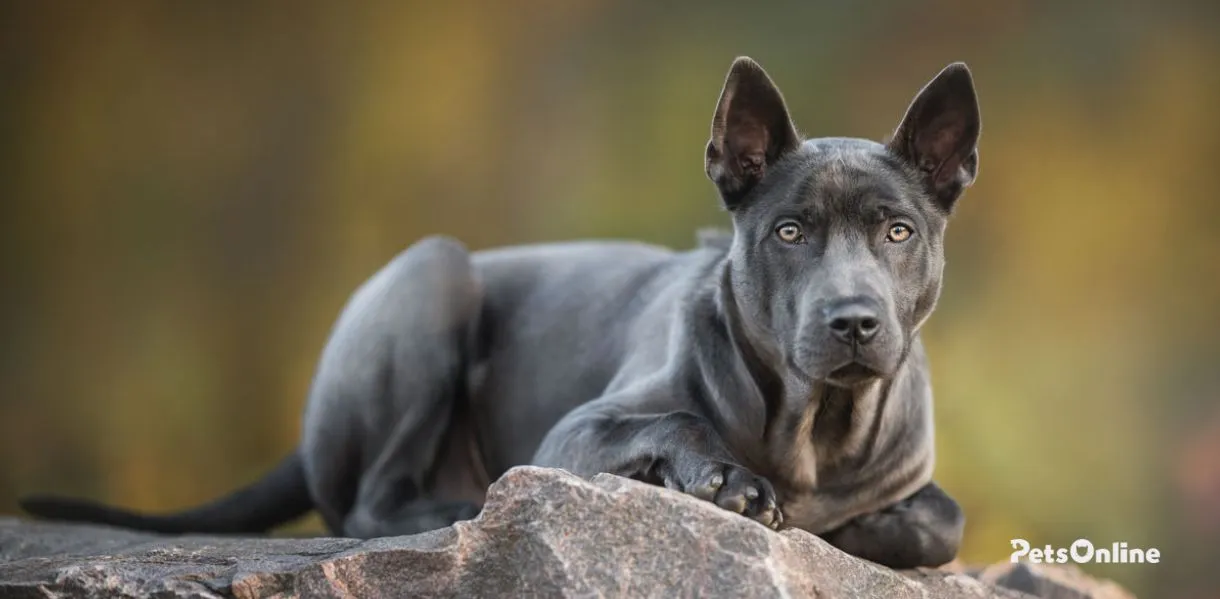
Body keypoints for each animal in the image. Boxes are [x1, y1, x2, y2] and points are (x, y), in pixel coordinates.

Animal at [21, 57, 980, 570]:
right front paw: (723, 481)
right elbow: (674, 418)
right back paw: (453, 502)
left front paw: (871, 525)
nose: (853, 321)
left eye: (897, 230)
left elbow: (944, 519)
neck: (815, 422)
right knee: (367, 503)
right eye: (789, 230)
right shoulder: (574, 436)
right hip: (432, 280)